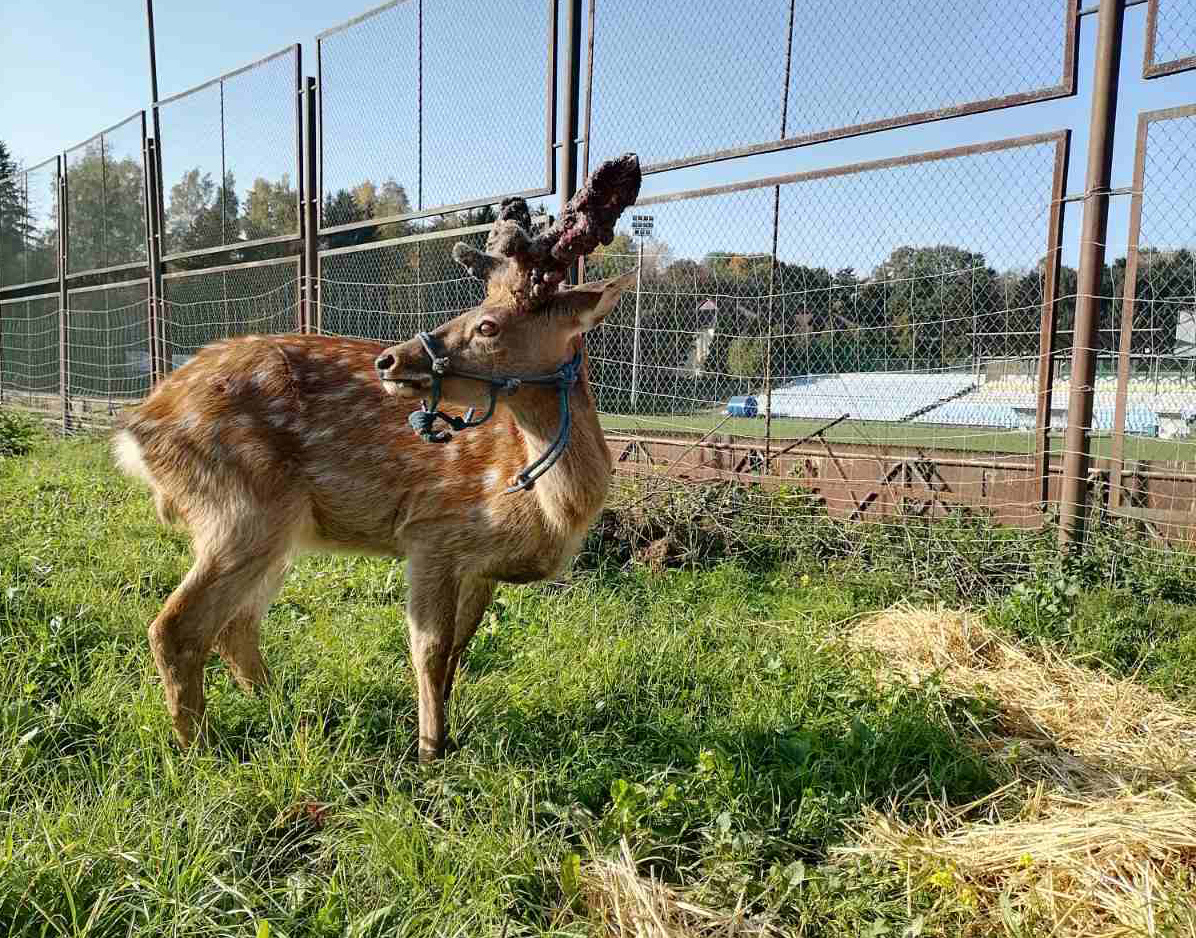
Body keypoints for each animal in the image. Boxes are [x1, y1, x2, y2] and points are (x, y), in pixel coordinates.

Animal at [117, 150, 645, 756]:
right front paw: (430, 750)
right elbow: (429, 649)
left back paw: (285, 713)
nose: (389, 359)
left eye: (487, 324)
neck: (548, 504)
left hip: (275, 528)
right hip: (240, 506)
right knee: (177, 626)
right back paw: (199, 749)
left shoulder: (479, 566)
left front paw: (447, 736)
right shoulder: (432, 532)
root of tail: (138, 426)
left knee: (236, 625)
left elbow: (460, 650)